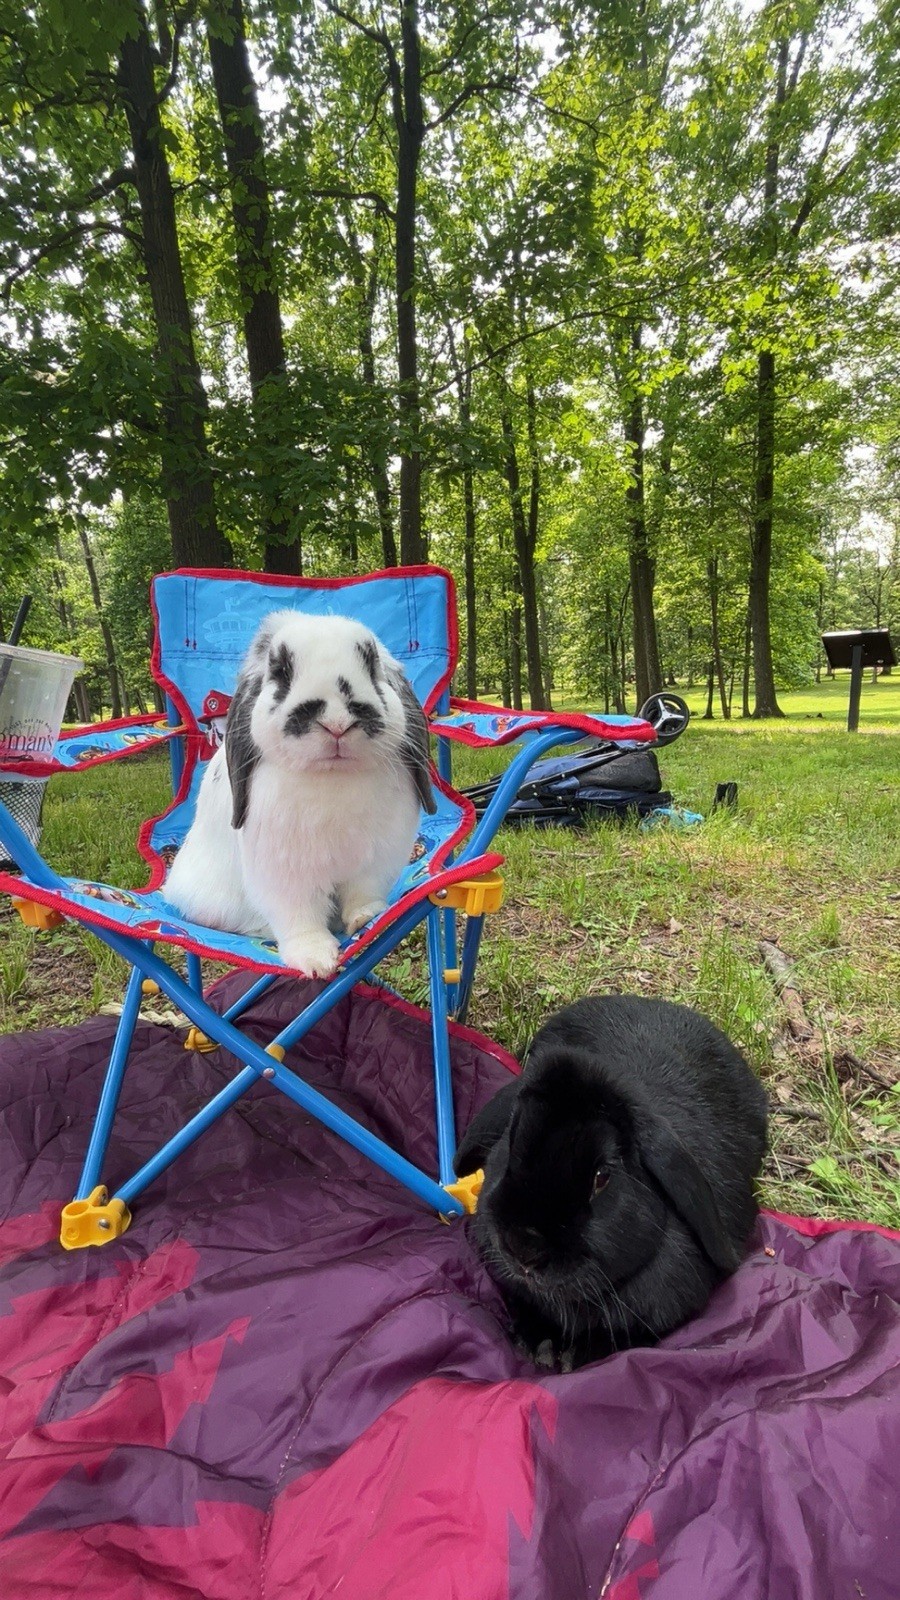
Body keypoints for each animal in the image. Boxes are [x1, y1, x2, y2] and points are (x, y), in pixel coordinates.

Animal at [164, 610, 436, 977]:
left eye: (372, 664)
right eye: (281, 671)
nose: (337, 723)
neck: (332, 778)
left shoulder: (375, 862)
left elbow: (364, 894)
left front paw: (367, 918)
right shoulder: (286, 876)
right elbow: (300, 918)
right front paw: (316, 960)